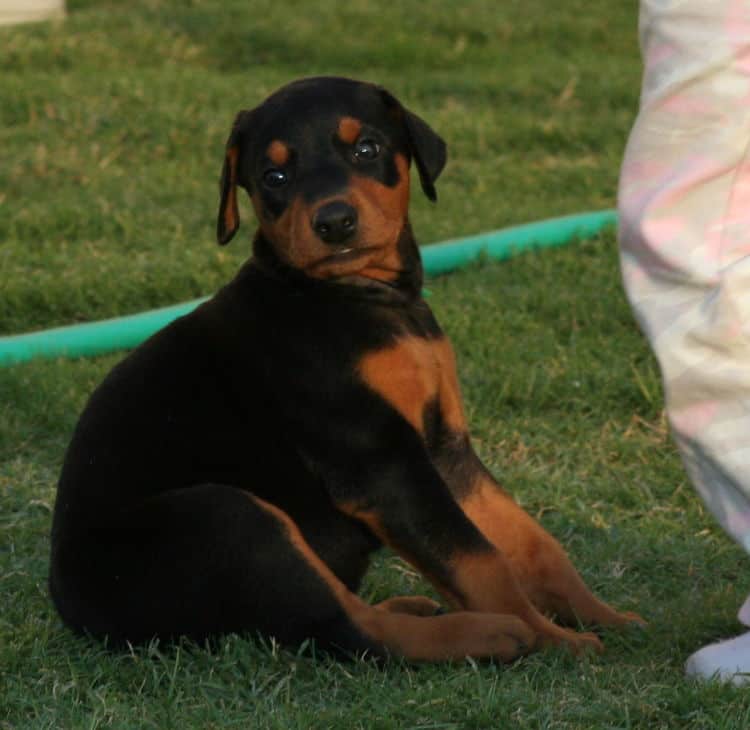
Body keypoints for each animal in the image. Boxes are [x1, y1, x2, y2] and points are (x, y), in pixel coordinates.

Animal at [50, 75, 644, 660]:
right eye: (274, 176)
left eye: (367, 149)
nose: (334, 221)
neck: (359, 298)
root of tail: (77, 613)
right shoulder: (381, 461)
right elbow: (477, 558)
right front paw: (555, 640)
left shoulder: (445, 450)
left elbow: (529, 542)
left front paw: (604, 617)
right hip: (228, 516)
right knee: (344, 629)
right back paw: (490, 634)